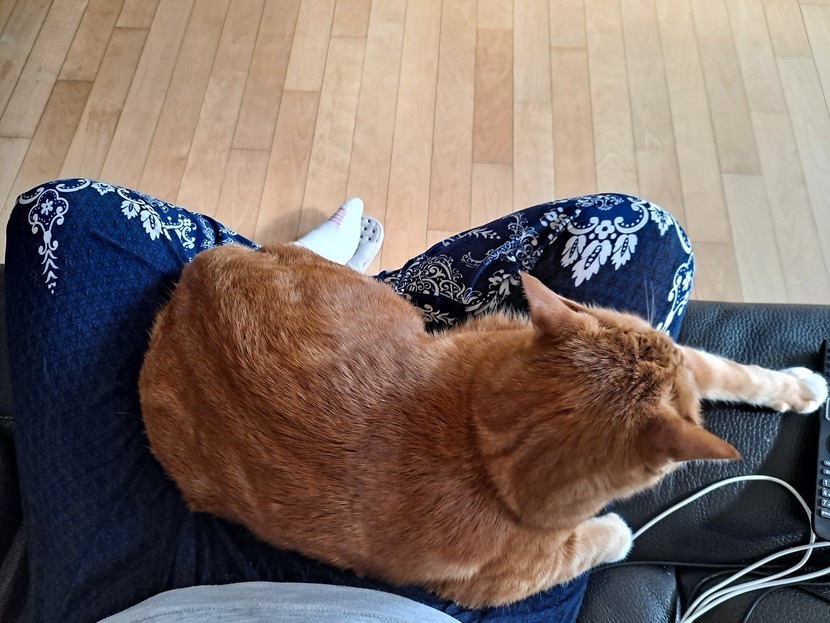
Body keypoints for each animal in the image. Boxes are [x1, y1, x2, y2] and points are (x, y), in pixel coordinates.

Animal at [139, 242, 828, 608]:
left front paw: (802, 387)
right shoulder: (501, 582)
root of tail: (194, 276)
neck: (476, 441)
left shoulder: (668, 353)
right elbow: (596, 541)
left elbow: (729, 370)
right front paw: (618, 532)